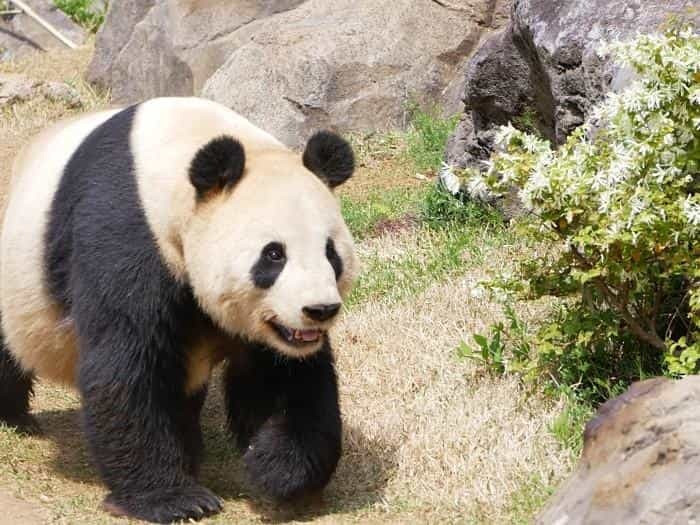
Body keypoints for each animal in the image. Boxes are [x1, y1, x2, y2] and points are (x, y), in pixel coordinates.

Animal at [0, 96, 358, 520]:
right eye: (274, 255)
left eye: (330, 253)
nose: (320, 310)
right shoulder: (126, 233)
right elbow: (127, 364)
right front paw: (174, 500)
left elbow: (284, 375)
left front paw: (279, 470)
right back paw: (16, 417)